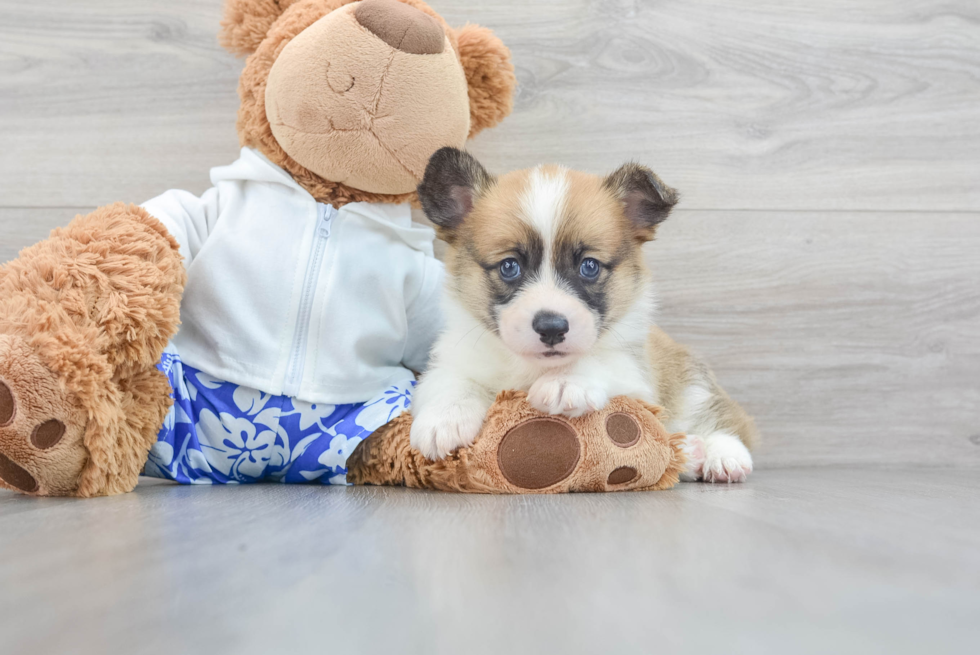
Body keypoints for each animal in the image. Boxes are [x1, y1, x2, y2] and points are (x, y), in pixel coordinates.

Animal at [406, 151, 756, 484]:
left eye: (589, 266)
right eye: (509, 266)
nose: (551, 328)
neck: (533, 367)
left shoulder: (637, 379)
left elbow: (600, 360)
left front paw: (565, 381)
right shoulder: (453, 362)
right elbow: (452, 383)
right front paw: (443, 420)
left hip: (693, 385)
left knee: (725, 420)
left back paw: (716, 455)